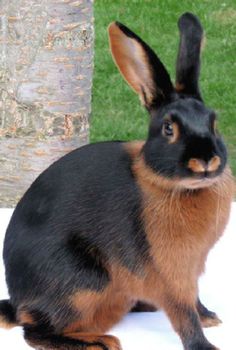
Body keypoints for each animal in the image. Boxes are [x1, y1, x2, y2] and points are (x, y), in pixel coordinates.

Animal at [0, 11, 234, 350]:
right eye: (168, 128)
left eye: (214, 123)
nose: (206, 160)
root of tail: (17, 302)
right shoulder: (169, 272)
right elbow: (182, 312)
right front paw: (204, 345)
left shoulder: (192, 269)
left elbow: (195, 301)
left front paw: (210, 317)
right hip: (83, 282)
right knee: (34, 331)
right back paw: (100, 341)